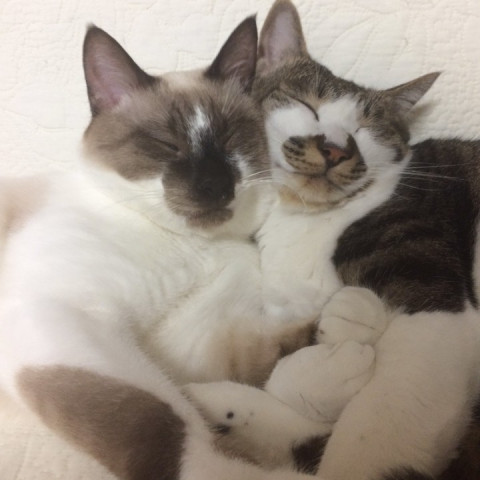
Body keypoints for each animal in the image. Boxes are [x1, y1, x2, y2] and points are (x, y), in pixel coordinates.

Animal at [0, 16, 341, 480]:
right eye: (167, 145)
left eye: (230, 139)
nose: (215, 186)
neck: (193, 246)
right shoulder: (64, 314)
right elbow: (169, 429)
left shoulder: (193, 350)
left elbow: (267, 356)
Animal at [185, 1, 480, 479]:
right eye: (308, 104)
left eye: (367, 130)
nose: (338, 149)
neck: (303, 218)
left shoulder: (431, 301)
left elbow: (371, 433)